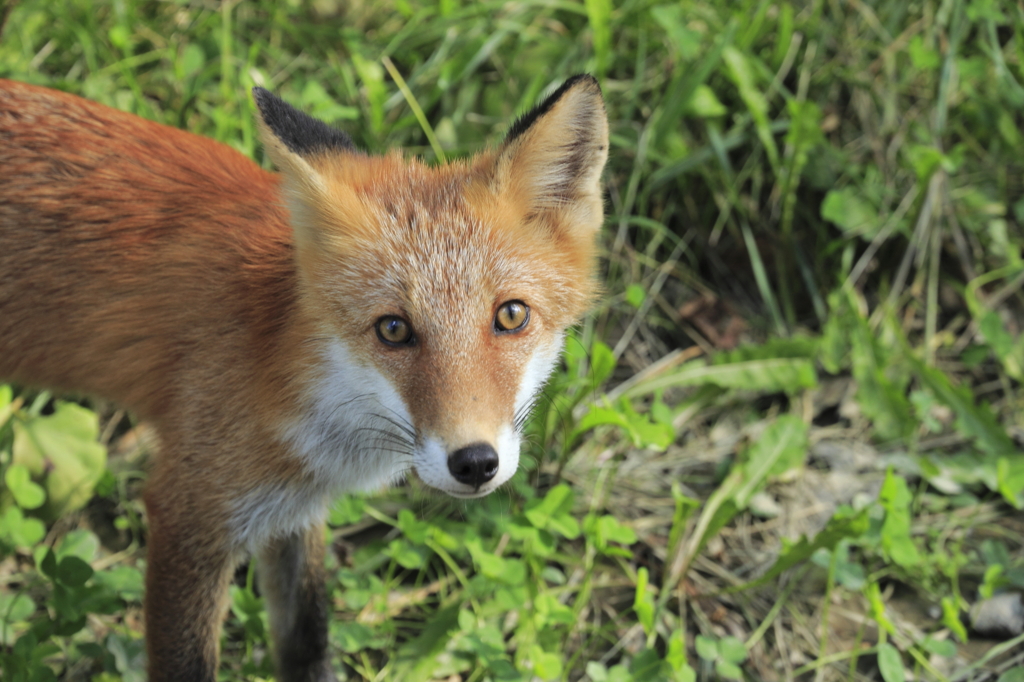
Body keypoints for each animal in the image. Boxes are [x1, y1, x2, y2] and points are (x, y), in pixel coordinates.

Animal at [0, 76, 606, 675]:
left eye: (511, 315)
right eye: (393, 329)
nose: (475, 462)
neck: (278, 362)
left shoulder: (292, 509)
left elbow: (306, 637)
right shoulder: (190, 514)